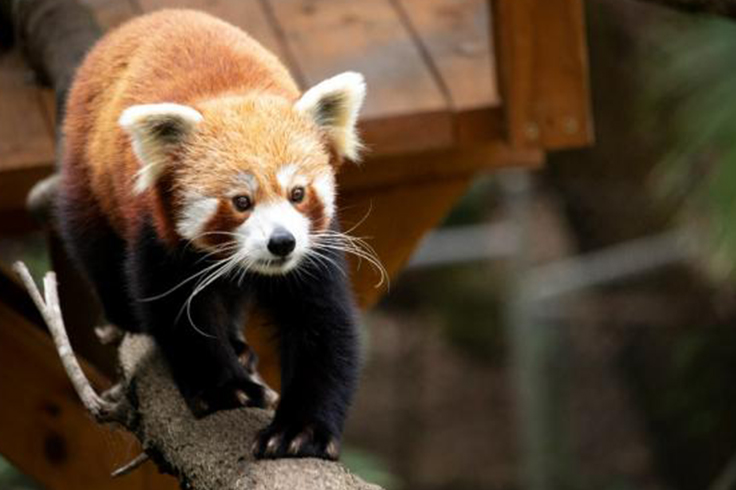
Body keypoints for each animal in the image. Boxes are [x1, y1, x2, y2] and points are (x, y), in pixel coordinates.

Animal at [56, 8, 366, 460]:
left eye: (297, 194)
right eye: (241, 202)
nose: (281, 242)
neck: (233, 93)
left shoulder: (314, 246)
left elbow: (322, 324)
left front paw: (300, 431)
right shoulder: (158, 231)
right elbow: (175, 310)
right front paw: (225, 389)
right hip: (86, 168)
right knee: (93, 245)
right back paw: (123, 313)